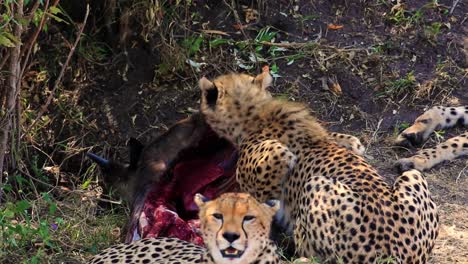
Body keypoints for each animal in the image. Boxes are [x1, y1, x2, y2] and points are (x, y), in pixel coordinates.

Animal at [197, 71, 446, 262]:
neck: (257, 114)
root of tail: (398, 254)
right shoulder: (351, 145)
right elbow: (352, 143)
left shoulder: (279, 155)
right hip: (412, 174)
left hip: (316, 185)